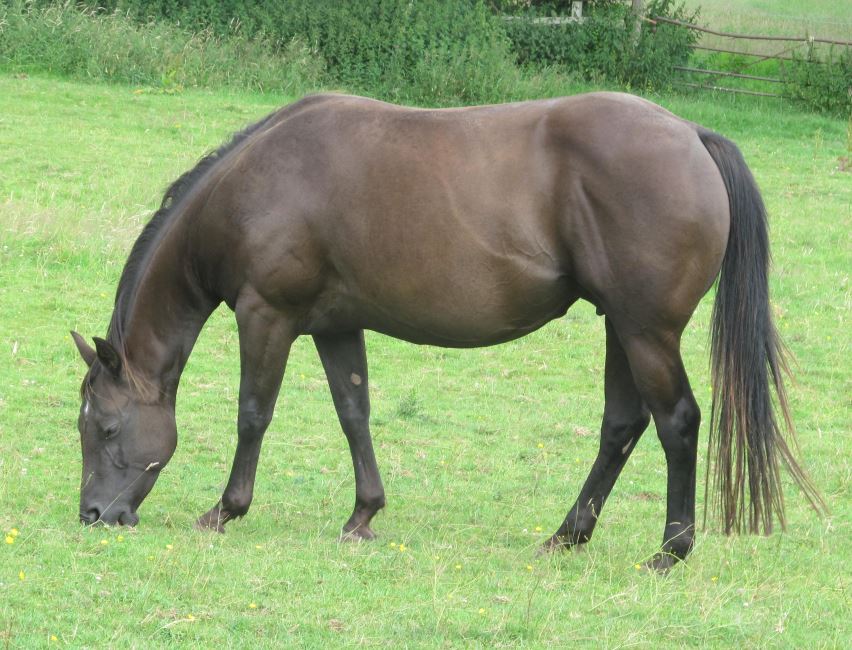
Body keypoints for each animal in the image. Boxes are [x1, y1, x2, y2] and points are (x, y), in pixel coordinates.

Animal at [75, 91, 824, 568]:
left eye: (104, 428)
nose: (94, 516)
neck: (258, 182)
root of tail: (692, 135)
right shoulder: (336, 327)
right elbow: (354, 413)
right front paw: (364, 515)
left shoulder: (268, 316)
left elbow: (253, 414)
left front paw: (225, 511)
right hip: (623, 328)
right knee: (622, 426)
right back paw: (567, 536)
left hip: (646, 332)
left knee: (677, 422)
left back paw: (670, 550)